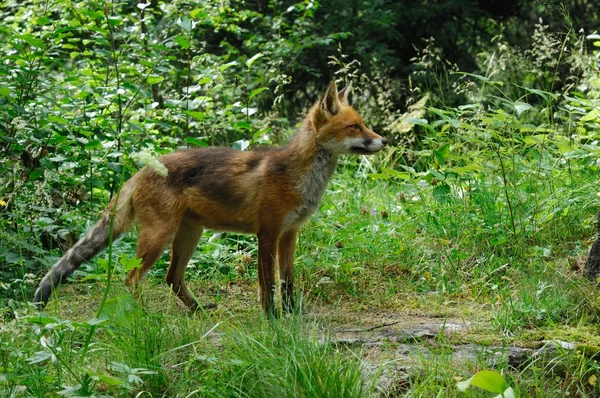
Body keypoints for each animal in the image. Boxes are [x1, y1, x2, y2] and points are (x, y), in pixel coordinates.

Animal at [34, 81, 390, 314]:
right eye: (354, 127)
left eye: (363, 124)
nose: (384, 141)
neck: (298, 177)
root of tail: (142, 170)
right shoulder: (267, 233)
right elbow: (268, 284)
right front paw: (272, 319)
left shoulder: (290, 233)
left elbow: (288, 282)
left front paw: (291, 315)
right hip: (159, 237)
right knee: (132, 278)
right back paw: (144, 317)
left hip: (190, 234)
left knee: (172, 278)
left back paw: (197, 311)